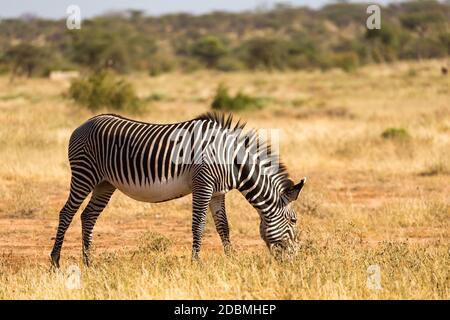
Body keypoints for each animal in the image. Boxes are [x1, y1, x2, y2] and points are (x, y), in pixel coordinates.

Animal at [51, 112, 308, 268]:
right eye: (294, 220)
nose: (296, 259)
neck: (231, 160)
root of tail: (84, 123)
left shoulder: (218, 192)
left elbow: (223, 226)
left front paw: (231, 258)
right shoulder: (203, 185)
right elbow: (199, 225)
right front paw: (196, 263)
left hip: (105, 184)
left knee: (88, 216)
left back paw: (88, 262)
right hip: (85, 174)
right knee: (67, 213)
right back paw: (55, 261)